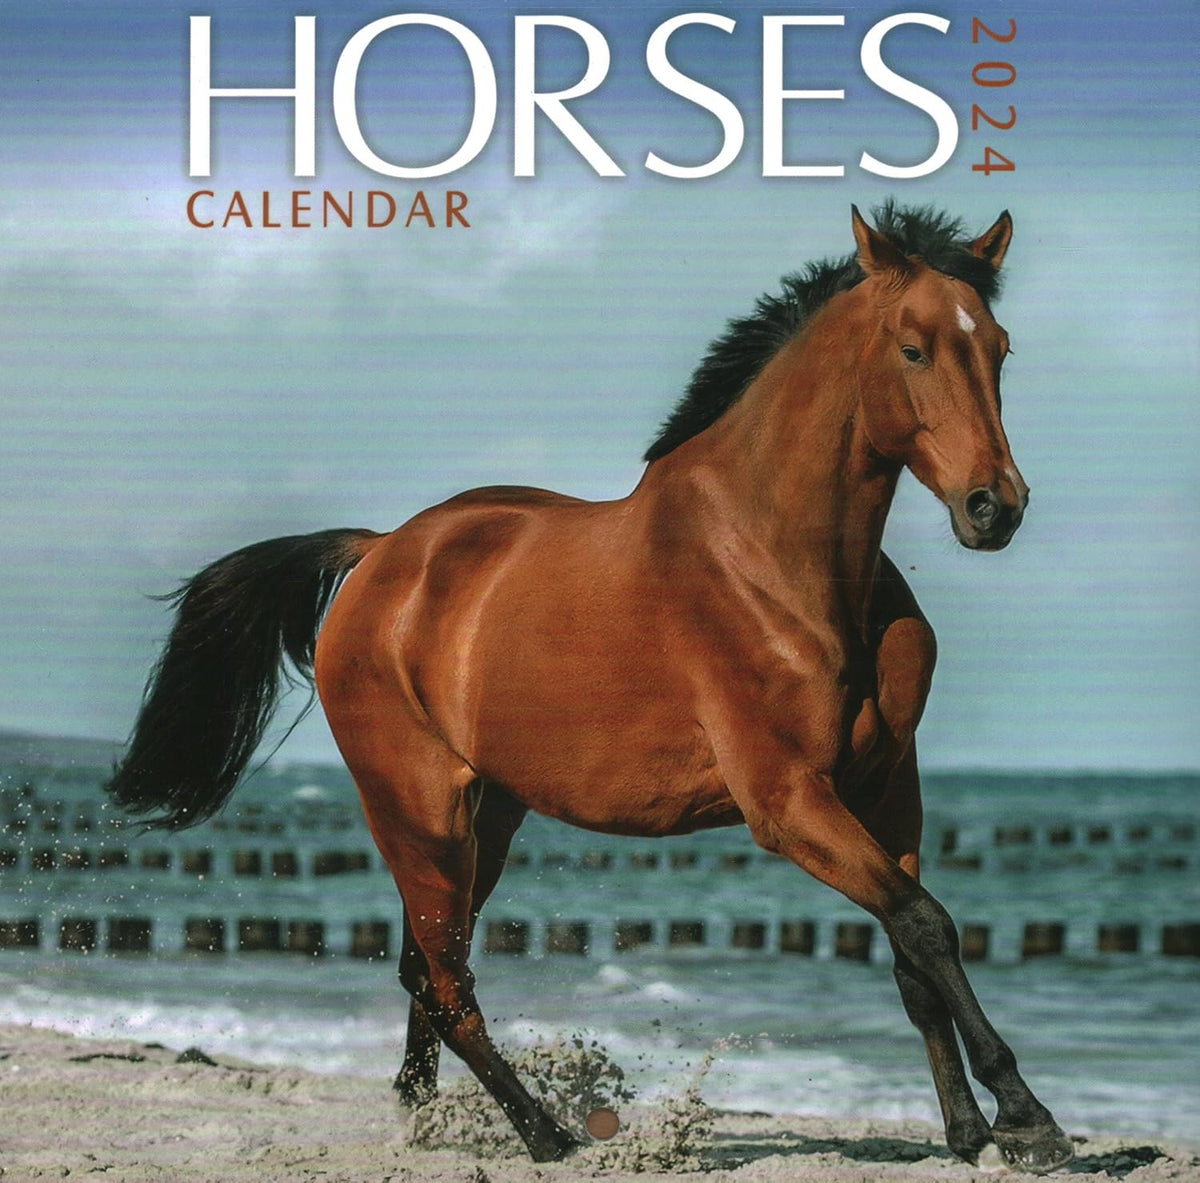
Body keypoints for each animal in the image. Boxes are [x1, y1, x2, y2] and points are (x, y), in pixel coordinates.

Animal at [107, 203, 1072, 1174]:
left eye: (999, 348)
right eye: (913, 348)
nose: (996, 506)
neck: (780, 562)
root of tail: (378, 553)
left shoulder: (886, 788)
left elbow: (914, 955)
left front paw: (970, 1133)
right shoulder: (789, 799)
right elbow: (926, 923)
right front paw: (1027, 1119)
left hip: (489, 816)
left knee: (427, 968)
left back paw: (423, 1118)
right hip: (419, 812)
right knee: (445, 977)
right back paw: (547, 1136)